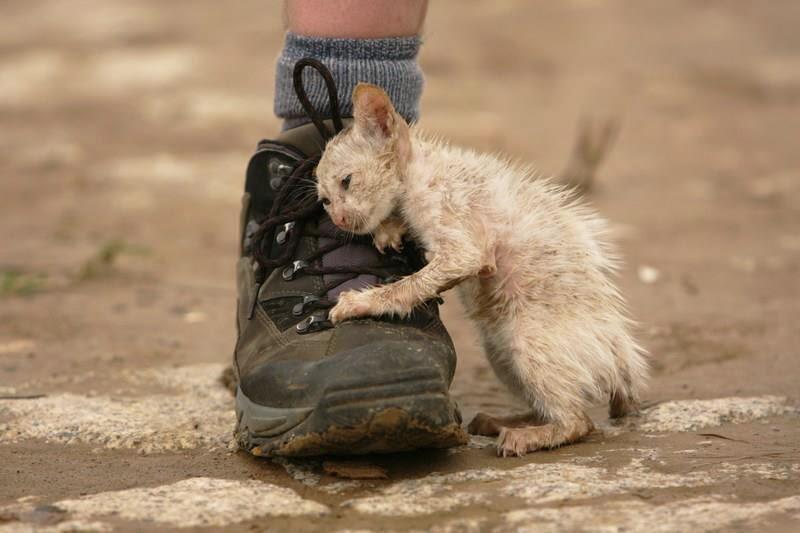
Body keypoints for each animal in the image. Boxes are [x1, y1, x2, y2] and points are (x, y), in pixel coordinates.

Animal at [316, 83, 648, 458]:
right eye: (324, 200)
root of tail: (621, 362)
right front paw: (389, 229)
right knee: (553, 407)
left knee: (579, 422)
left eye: (347, 181)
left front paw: (358, 302)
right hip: (500, 353)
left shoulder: (461, 242)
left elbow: (409, 286)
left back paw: (526, 436)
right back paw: (503, 422)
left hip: (527, 341)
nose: (339, 219)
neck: (420, 171)